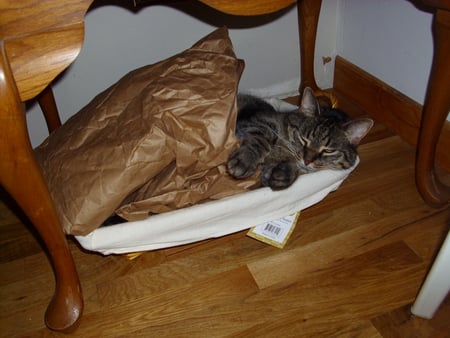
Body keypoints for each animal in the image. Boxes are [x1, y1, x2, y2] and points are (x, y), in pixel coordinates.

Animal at [227, 87, 374, 190]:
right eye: (304, 139)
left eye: (328, 150)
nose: (307, 161)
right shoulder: (256, 121)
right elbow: (263, 138)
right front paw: (245, 160)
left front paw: (285, 173)